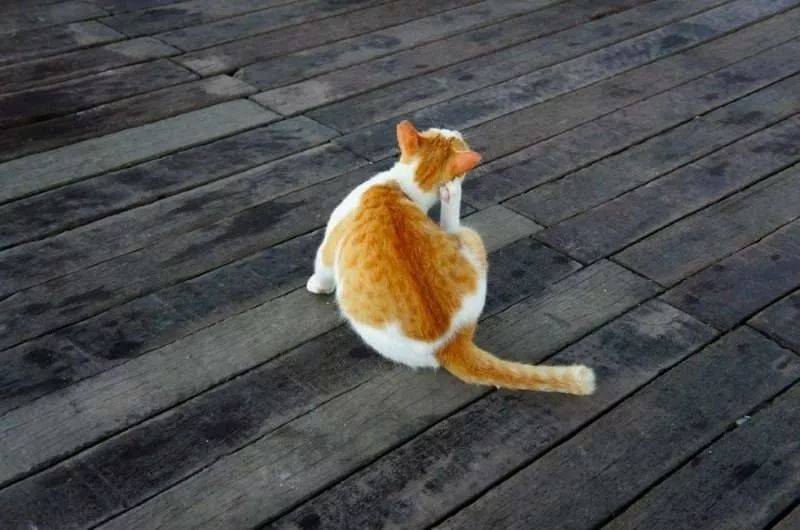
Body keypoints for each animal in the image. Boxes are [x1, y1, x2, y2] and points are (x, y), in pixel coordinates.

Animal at [307, 120, 595, 395]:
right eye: (437, 130)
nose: (455, 129)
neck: (405, 186)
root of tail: (452, 342)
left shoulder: (331, 240)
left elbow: (322, 266)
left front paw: (317, 286)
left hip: (467, 237)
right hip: (468, 244)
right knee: (450, 226)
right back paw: (452, 193)